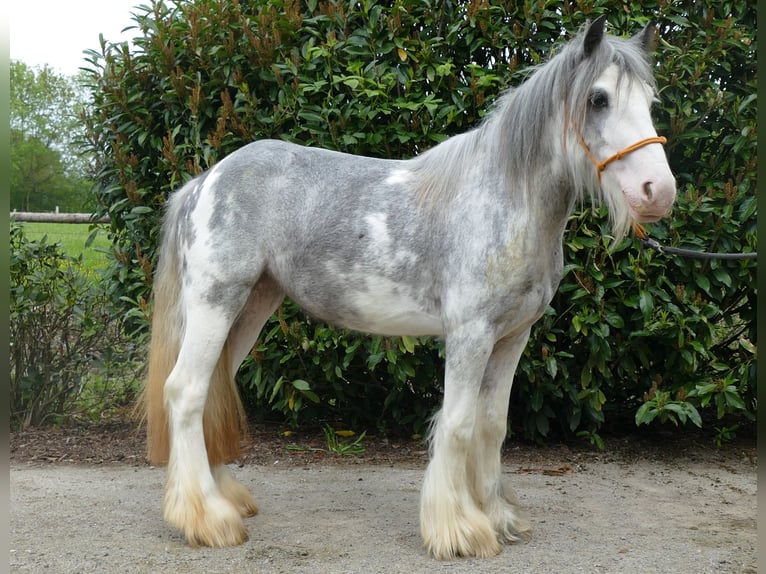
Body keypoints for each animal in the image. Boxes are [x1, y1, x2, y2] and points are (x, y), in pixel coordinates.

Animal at [144, 16, 680, 564]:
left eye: (650, 99)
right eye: (598, 98)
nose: (658, 192)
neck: (504, 201)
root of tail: (206, 180)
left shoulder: (513, 338)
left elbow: (492, 425)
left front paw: (498, 517)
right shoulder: (470, 335)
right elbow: (459, 424)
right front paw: (460, 530)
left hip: (250, 307)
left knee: (213, 392)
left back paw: (224, 498)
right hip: (216, 303)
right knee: (186, 392)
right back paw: (208, 519)